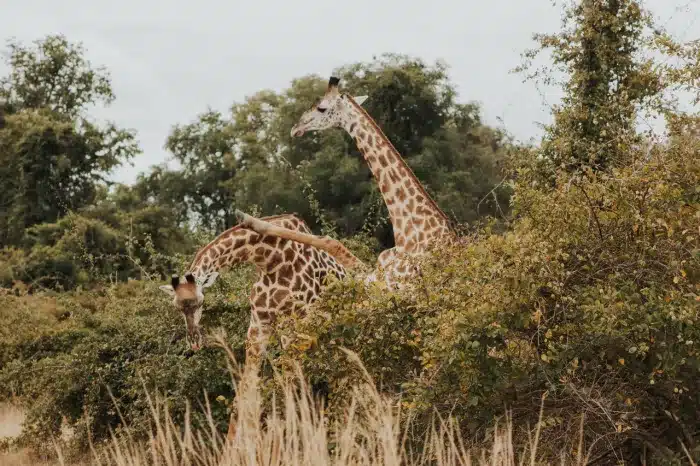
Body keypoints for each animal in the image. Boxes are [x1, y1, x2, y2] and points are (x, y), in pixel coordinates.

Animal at [158, 214, 356, 440]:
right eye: (177, 307)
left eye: (200, 302)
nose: (194, 341)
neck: (270, 259)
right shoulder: (259, 325)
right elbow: (245, 395)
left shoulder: (300, 324)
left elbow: (286, 392)